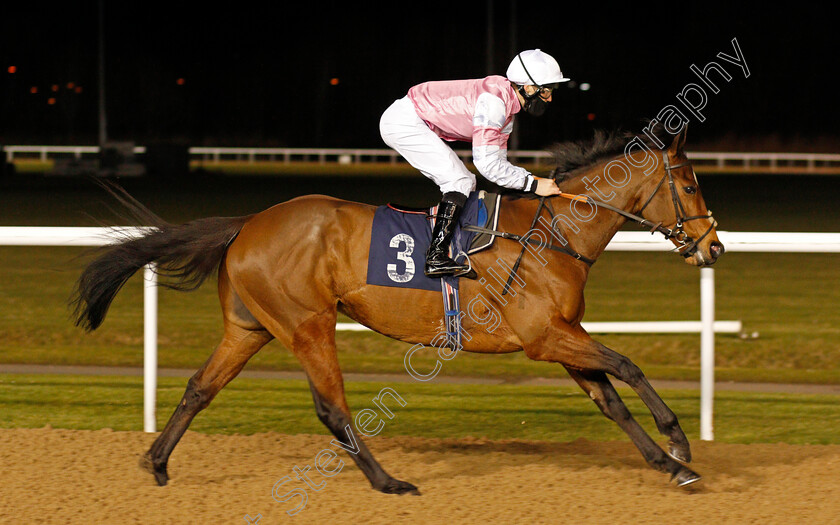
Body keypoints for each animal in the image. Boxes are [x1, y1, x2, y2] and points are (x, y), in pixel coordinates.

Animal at [74, 125, 720, 494]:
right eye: (690, 184)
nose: (712, 247)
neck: (552, 232)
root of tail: (248, 223)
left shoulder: (561, 333)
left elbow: (610, 399)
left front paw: (669, 464)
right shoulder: (546, 337)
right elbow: (629, 366)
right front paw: (680, 444)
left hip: (251, 327)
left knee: (199, 388)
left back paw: (158, 463)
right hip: (308, 323)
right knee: (332, 407)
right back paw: (388, 481)